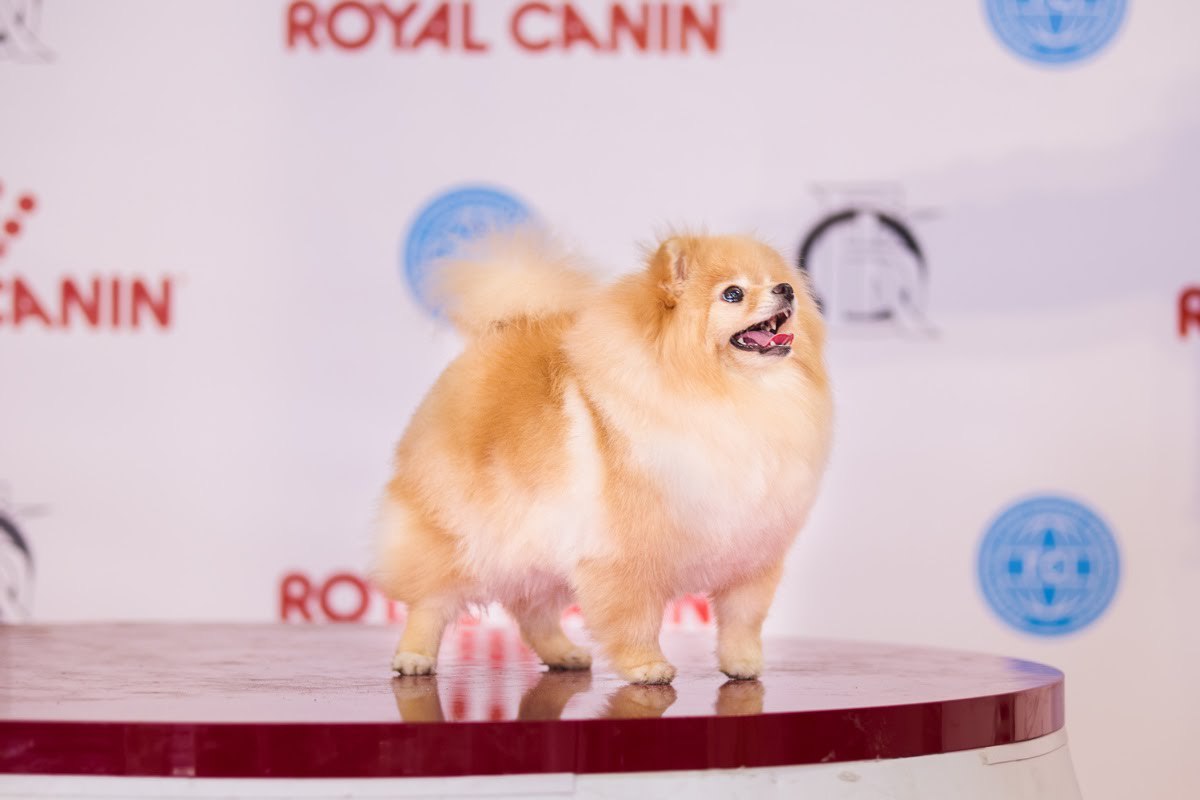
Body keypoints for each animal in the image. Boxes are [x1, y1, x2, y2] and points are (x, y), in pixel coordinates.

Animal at [374, 232, 832, 684]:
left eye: (777, 282)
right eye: (732, 294)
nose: (786, 289)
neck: (730, 391)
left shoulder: (751, 554)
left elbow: (742, 619)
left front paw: (742, 663)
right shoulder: (627, 557)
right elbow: (635, 620)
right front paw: (647, 666)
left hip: (537, 546)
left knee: (531, 611)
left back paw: (564, 653)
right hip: (454, 534)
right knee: (430, 602)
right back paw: (414, 656)